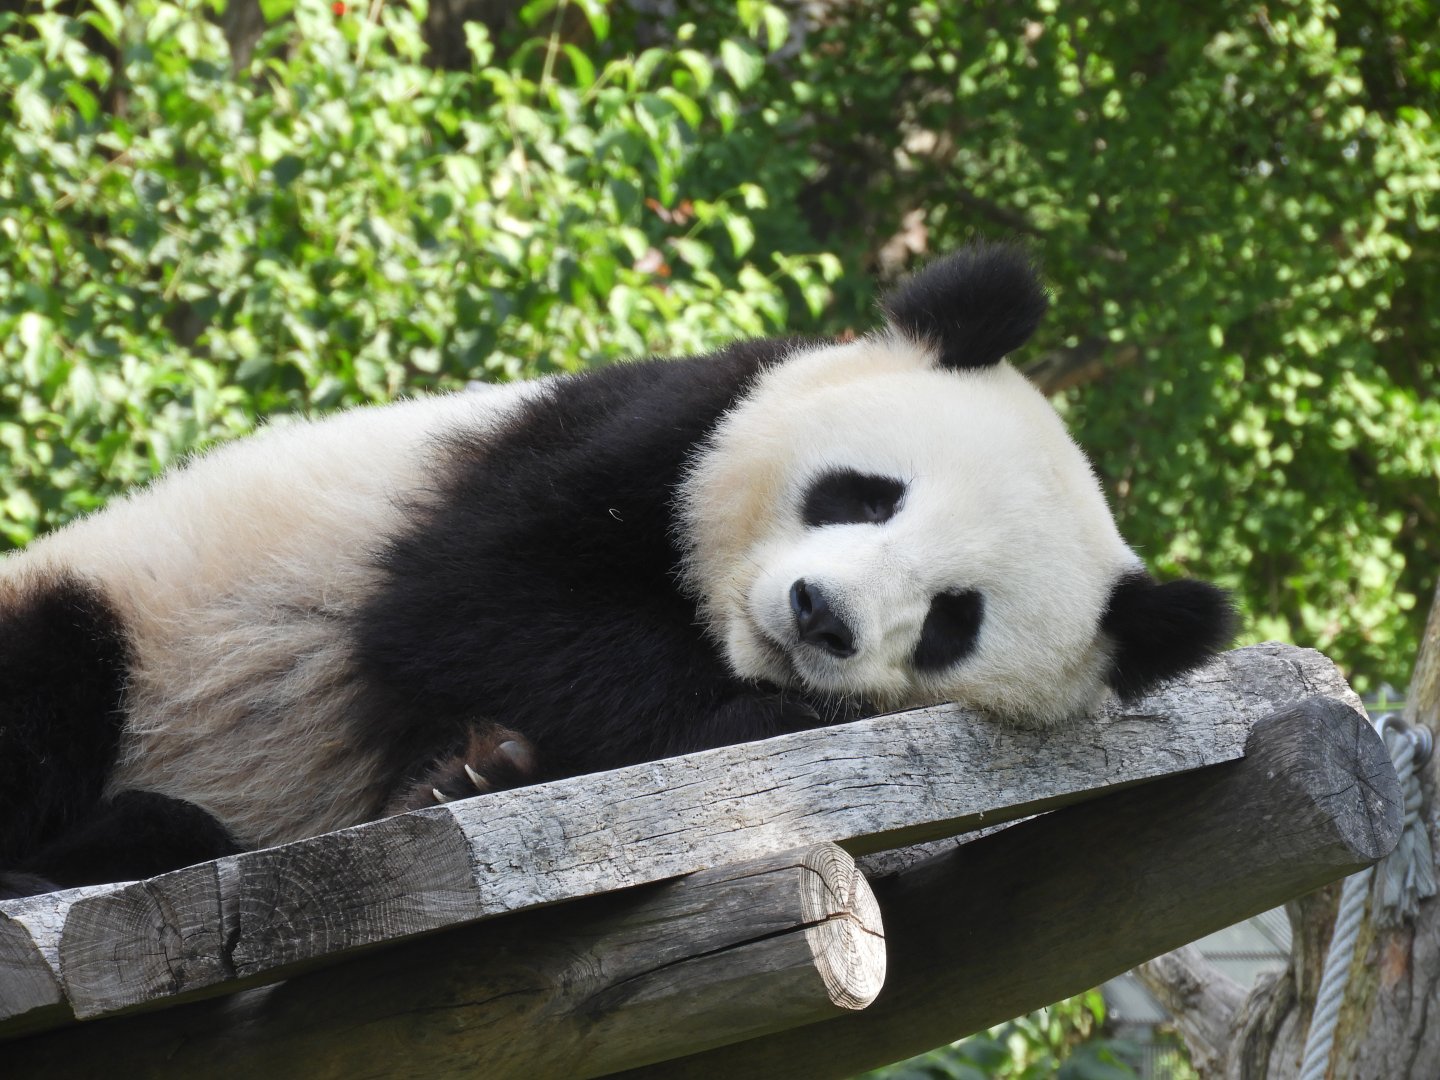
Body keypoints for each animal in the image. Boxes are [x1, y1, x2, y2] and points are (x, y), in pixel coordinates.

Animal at [0, 243, 1233, 898]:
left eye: (951, 622)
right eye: (865, 494)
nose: (819, 617)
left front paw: (476, 773)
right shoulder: (645, 431)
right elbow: (477, 601)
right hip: (121, 614)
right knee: (53, 676)